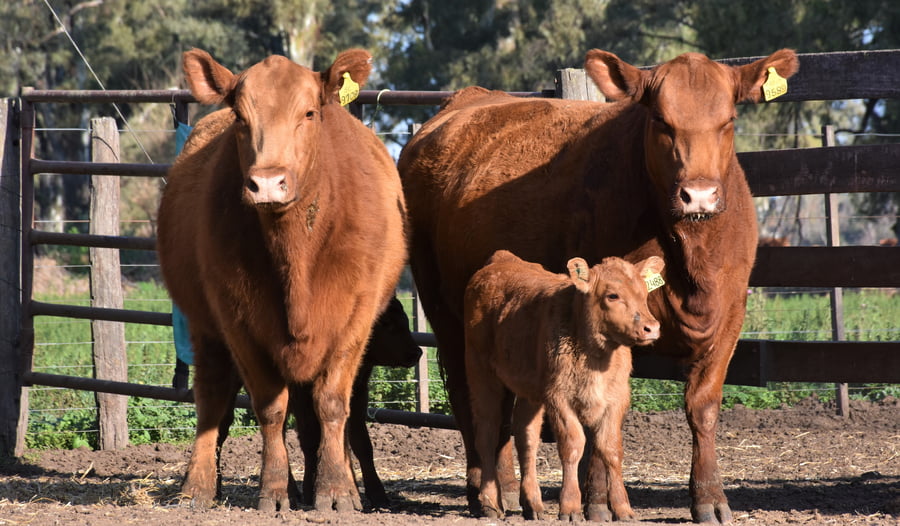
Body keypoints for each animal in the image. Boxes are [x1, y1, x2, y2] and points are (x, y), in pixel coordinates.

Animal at [156, 48, 408, 513]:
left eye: (308, 112)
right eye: (240, 116)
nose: (267, 183)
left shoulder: (354, 322)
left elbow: (331, 406)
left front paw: (336, 490)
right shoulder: (239, 325)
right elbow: (270, 409)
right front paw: (273, 489)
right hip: (205, 329)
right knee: (212, 401)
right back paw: (198, 486)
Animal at [465, 250, 664, 521]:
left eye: (644, 293)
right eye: (612, 295)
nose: (651, 328)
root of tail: (500, 261)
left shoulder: (617, 399)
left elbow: (611, 448)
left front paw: (623, 508)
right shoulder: (559, 399)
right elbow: (573, 445)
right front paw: (569, 507)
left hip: (529, 392)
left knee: (526, 438)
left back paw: (533, 504)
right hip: (482, 375)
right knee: (487, 432)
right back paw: (490, 503)